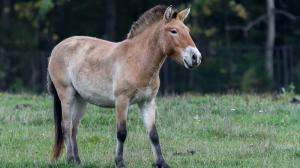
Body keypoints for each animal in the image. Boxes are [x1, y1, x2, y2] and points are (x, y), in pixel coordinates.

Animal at [47, 4, 202, 167]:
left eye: (187, 30)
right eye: (173, 31)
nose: (195, 57)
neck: (138, 60)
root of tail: (56, 49)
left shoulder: (147, 102)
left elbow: (153, 134)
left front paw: (161, 162)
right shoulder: (122, 101)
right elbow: (121, 133)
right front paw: (120, 162)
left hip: (80, 99)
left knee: (74, 128)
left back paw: (77, 161)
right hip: (67, 95)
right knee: (66, 126)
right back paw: (70, 159)